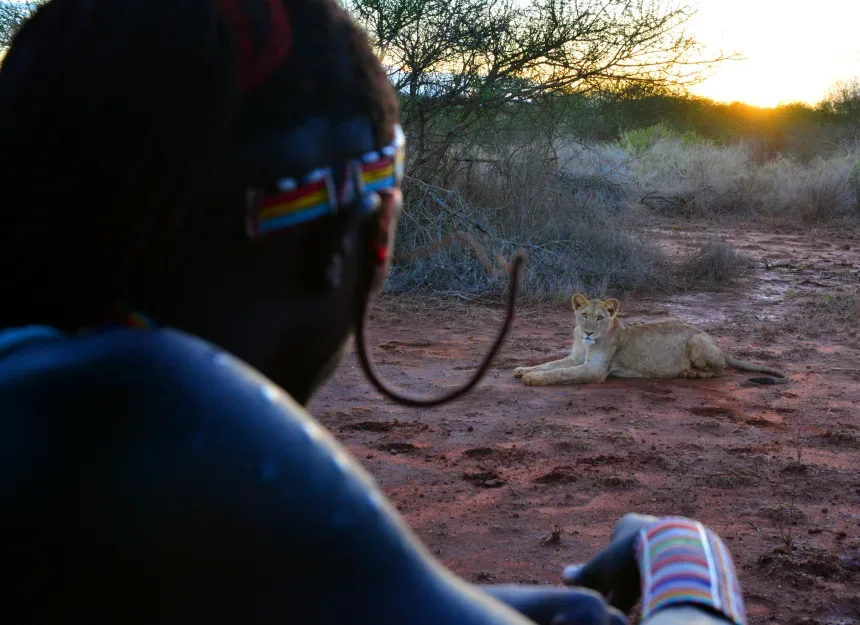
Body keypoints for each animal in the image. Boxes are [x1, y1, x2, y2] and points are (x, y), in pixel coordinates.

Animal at [513, 294, 788, 386]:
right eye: (584, 315)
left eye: (600, 318)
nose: (589, 332)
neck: (584, 342)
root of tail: (718, 343)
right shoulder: (575, 358)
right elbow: (549, 364)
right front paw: (523, 369)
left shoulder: (594, 371)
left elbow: (560, 373)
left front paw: (532, 379)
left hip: (697, 341)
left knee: (719, 371)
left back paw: (690, 373)